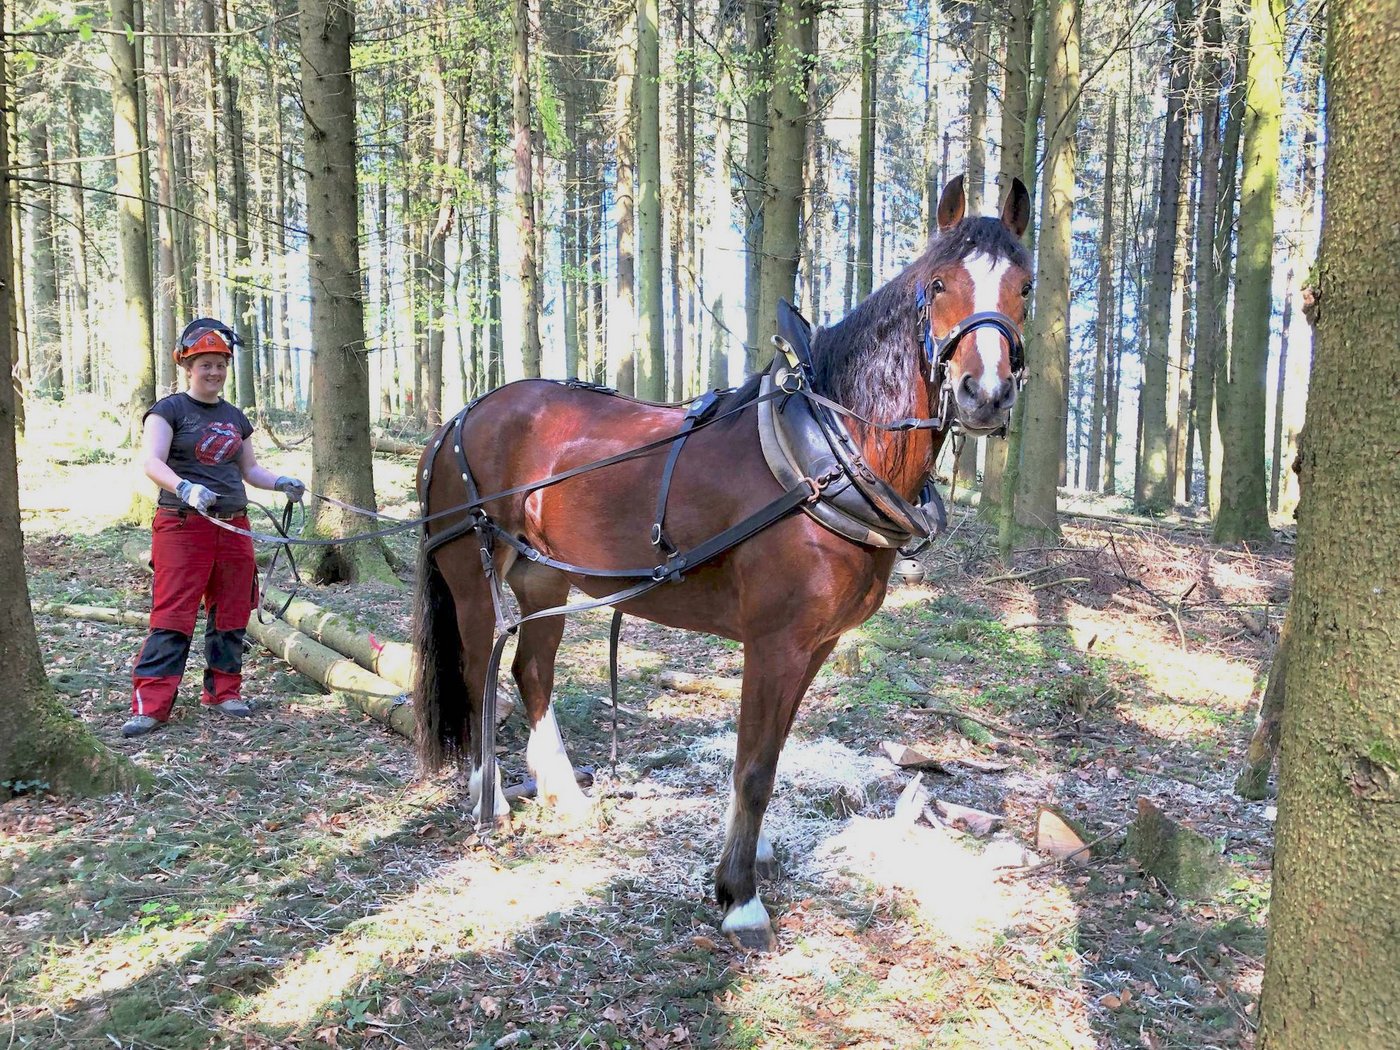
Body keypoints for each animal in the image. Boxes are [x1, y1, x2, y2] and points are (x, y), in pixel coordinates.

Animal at [413, 175, 1033, 950]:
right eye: (940, 282)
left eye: (1026, 287)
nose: (987, 393)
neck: (827, 453)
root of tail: (461, 416)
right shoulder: (775, 642)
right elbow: (755, 767)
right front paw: (739, 894)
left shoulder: (815, 644)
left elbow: (767, 753)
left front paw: (750, 853)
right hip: (471, 572)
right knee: (478, 669)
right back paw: (486, 792)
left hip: (544, 575)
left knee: (531, 671)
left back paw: (565, 792)